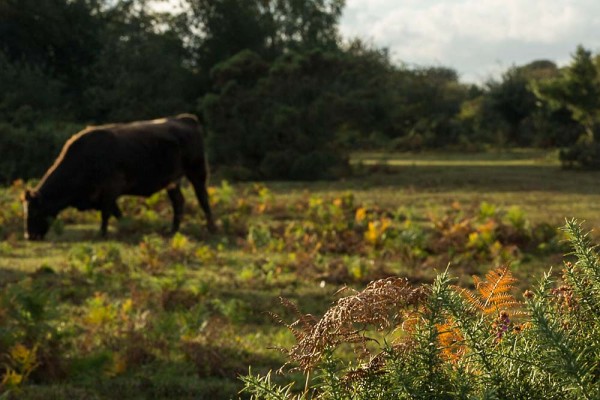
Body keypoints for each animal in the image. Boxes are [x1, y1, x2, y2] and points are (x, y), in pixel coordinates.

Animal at [22, 115, 217, 241]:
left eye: (35, 211)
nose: (29, 236)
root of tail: (186, 119)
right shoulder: (106, 195)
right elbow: (117, 213)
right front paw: (128, 229)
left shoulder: (110, 189)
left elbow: (106, 213)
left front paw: (102, 234)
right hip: (172, 181)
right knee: (178, 202)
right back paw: (173, 230)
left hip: (197, 172)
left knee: (203, 199)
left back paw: (211, 228)